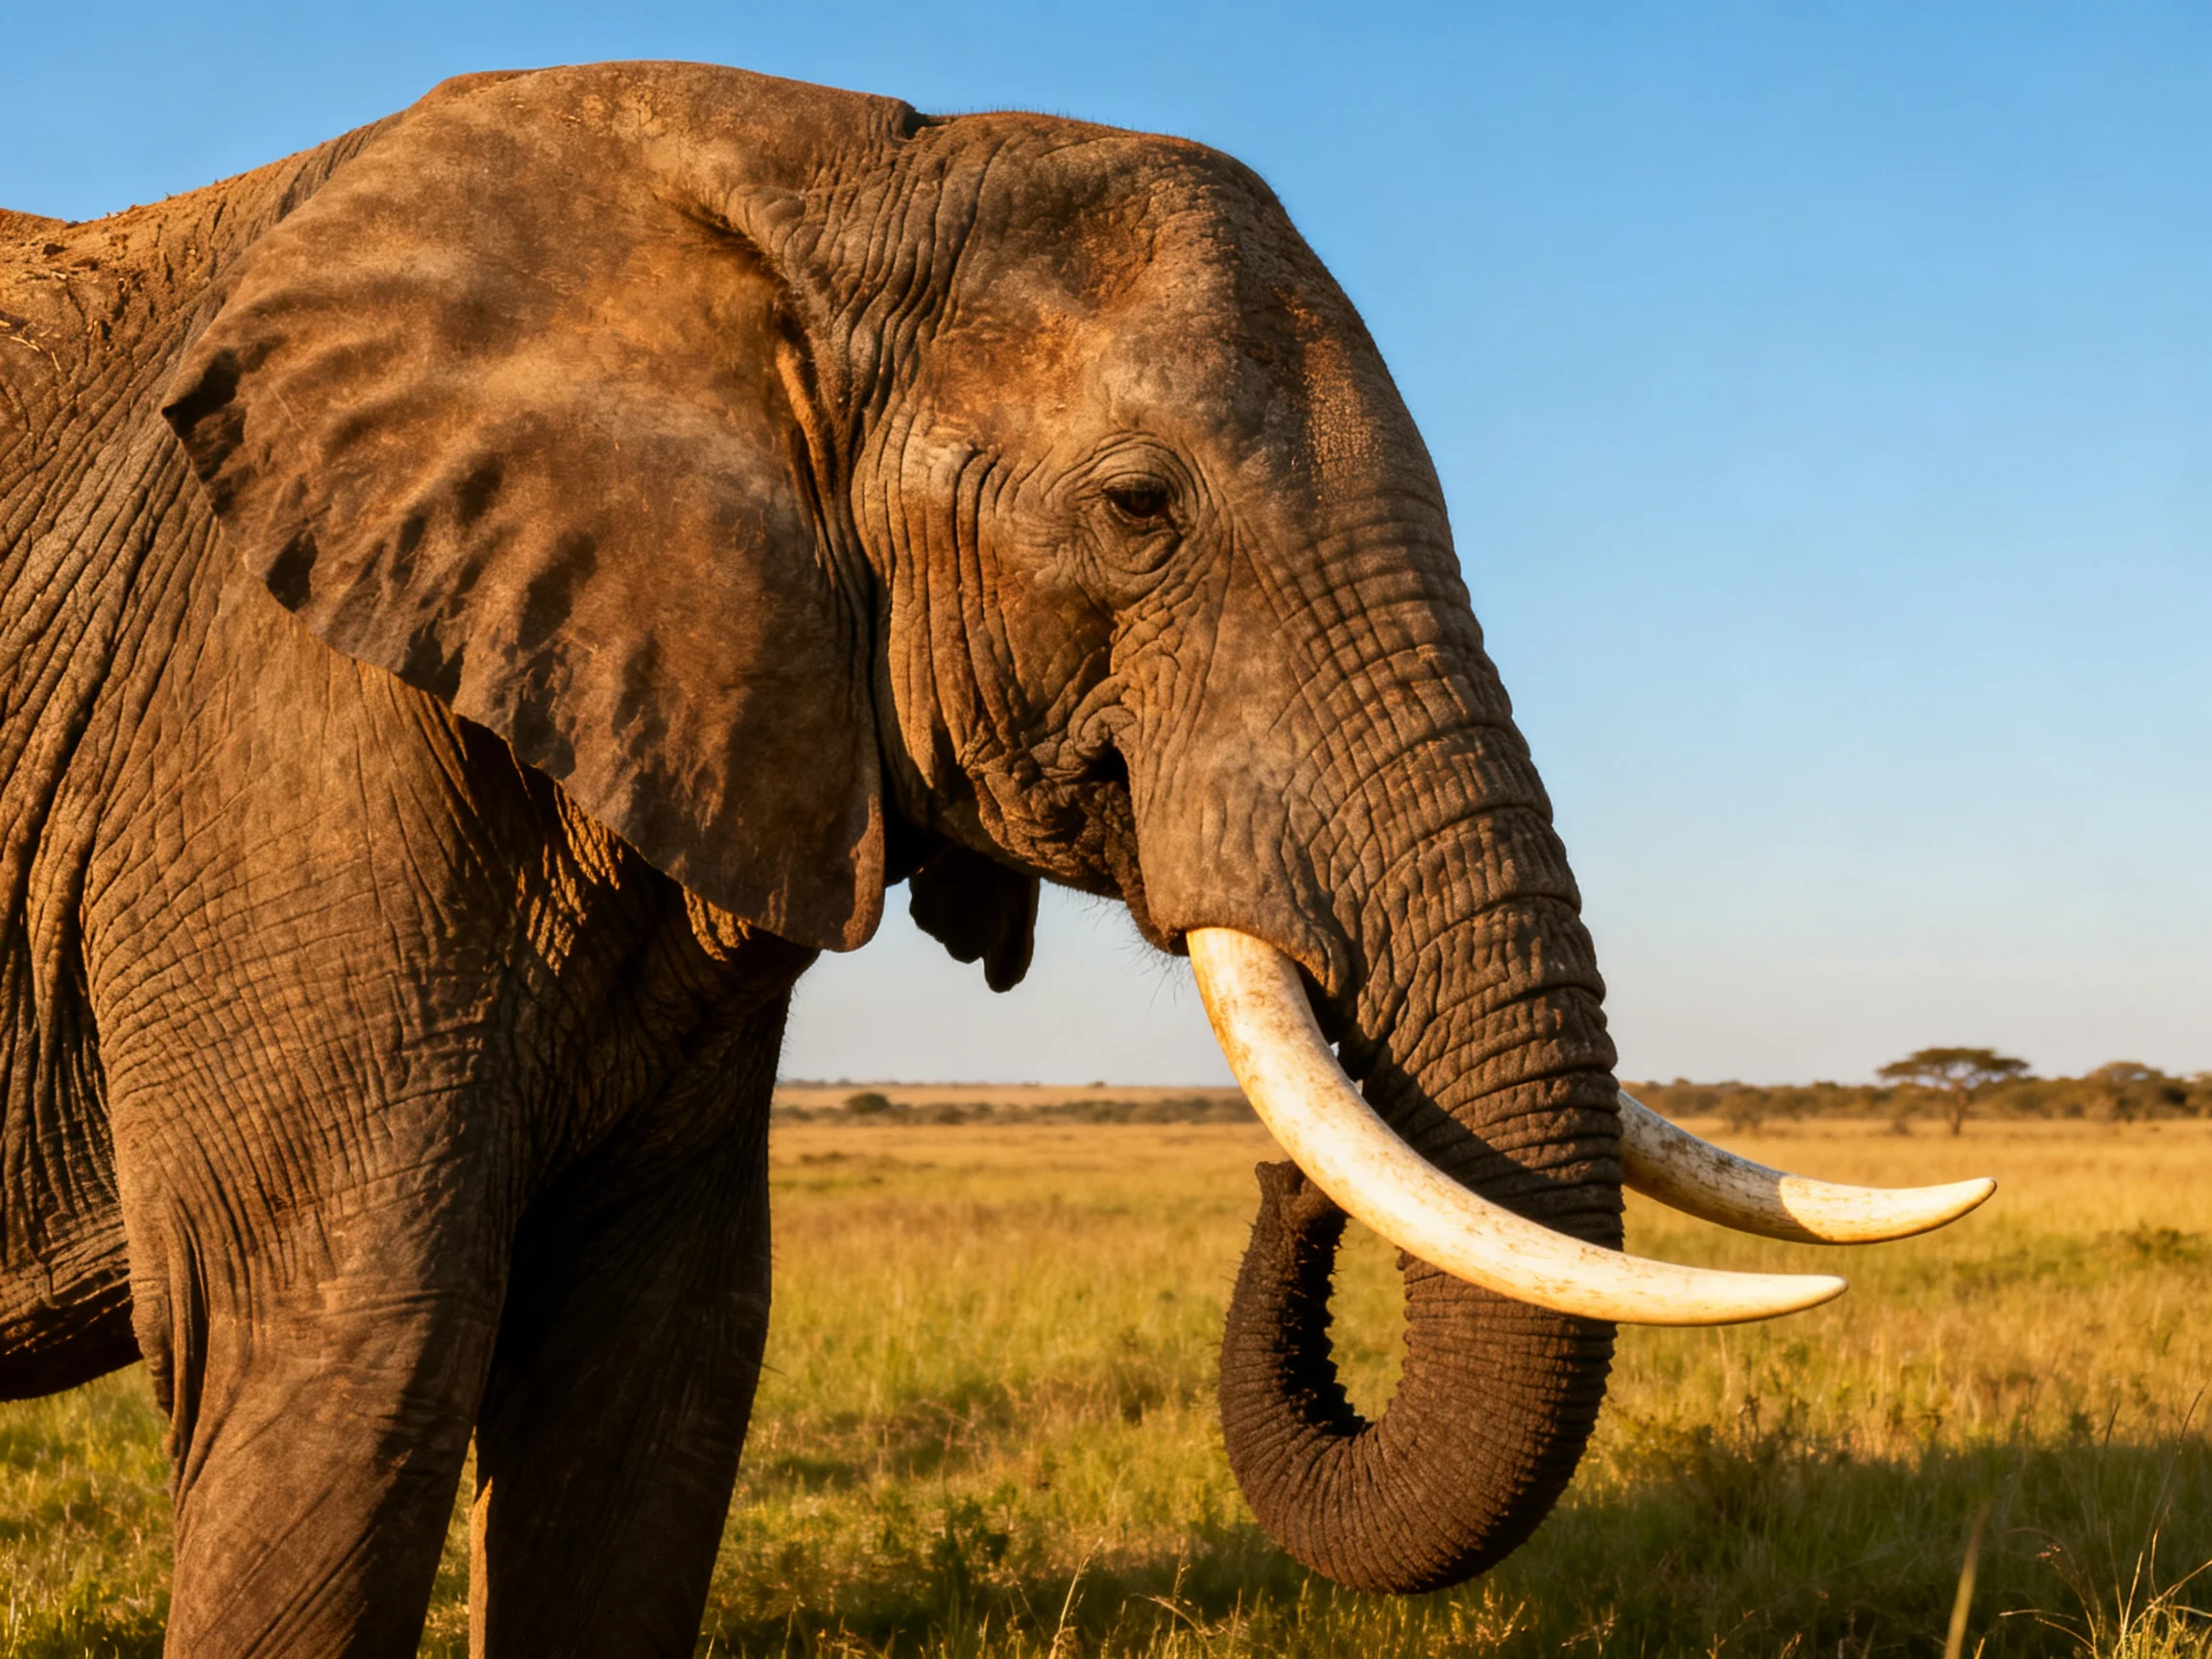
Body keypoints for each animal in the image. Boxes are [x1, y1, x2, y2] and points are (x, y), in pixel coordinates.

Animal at [0, 61, 1993, 1657]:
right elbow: (351, 1348)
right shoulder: (274, 727)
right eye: (1136, 506)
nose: (1281, 1177)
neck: (821, 182)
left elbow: (652, 1373)